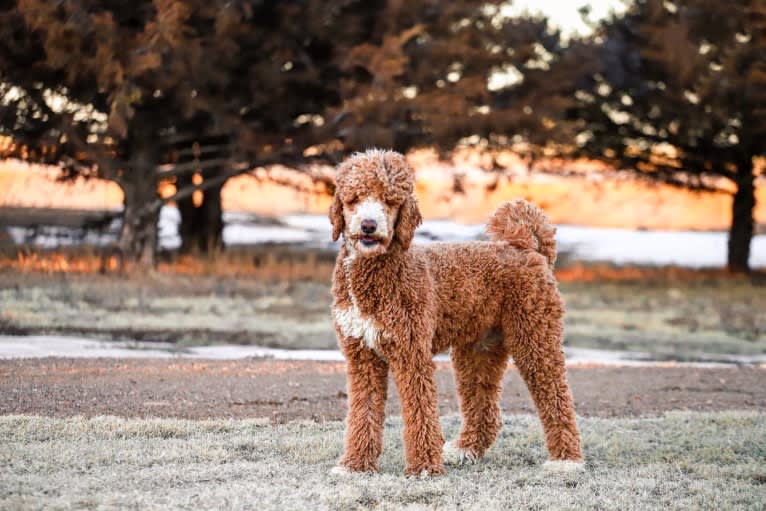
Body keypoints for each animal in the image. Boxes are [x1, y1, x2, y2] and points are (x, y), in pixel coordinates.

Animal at [328, 148, 584, 476]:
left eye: (390, 200)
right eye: (355, 198)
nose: (369, 225)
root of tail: (524, 244)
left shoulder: (411, 352)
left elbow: (420, 410)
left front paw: (424, 468)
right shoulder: (361, 355)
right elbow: (364, 412)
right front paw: (356, 465)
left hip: (535, 336)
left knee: (557, 397)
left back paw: (566, 460)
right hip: (477, 349)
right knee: (485, 409)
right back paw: (464, 450)